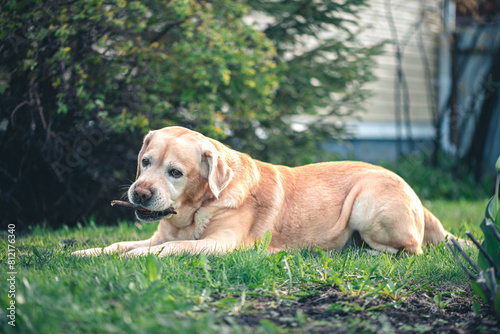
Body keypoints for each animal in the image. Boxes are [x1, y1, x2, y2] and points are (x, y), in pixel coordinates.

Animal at [74, 126, 454, 258]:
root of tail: (416, 197)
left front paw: (136, 256)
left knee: (411, 249)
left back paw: (362, 252)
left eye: (175, 173)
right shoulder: (156, 234)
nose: (139, 193)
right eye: (145, 161)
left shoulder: (221, 244)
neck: (195, 212)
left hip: (367, 200)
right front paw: (86, 252)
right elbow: (119, 244)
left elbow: (172, 247)